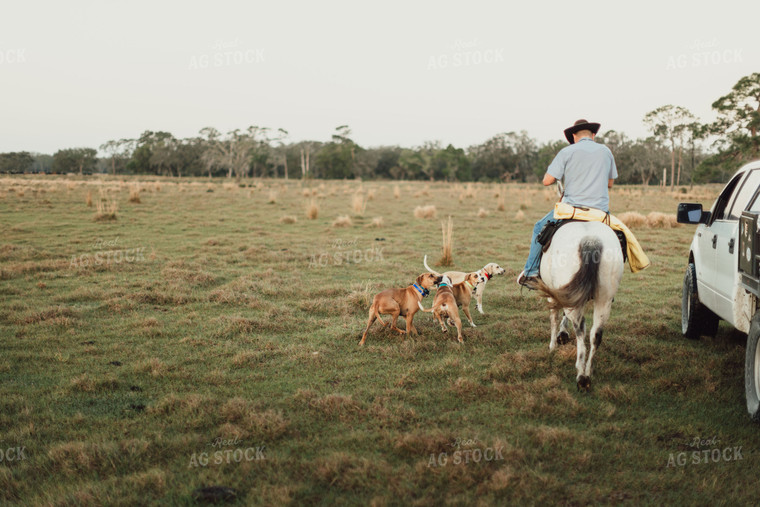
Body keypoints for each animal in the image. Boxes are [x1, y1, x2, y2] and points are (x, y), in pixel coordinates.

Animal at [536, 220, 624, 390]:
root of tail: (590, 241)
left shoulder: (553, 295)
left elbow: (553, 319)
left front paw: (553, 346)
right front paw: (562, 335)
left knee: (580, 329)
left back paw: (581, 374)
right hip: (604, 299)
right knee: (595, 334)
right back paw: (588, 372)